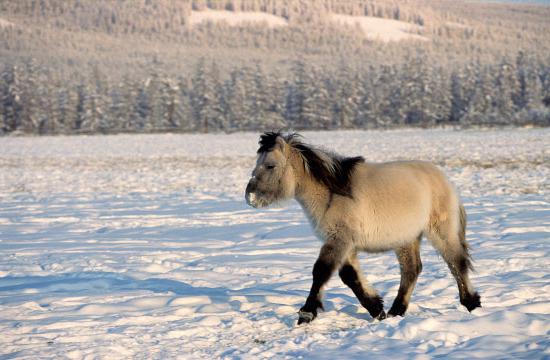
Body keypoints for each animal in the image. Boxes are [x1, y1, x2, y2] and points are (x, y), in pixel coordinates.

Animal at [246, 131, 484, 324]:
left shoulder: (339, 240)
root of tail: (445, 180)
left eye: (270, 165)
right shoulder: (345, 244)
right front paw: (376, 308)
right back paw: (396, 311)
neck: (332, 194)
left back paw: (471, 304)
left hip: (441, 232)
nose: (250, 197)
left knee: (456, 263)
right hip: (406, 238)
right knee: (411, 270)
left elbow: (321, 271)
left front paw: (306, 313)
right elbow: (350, 277)